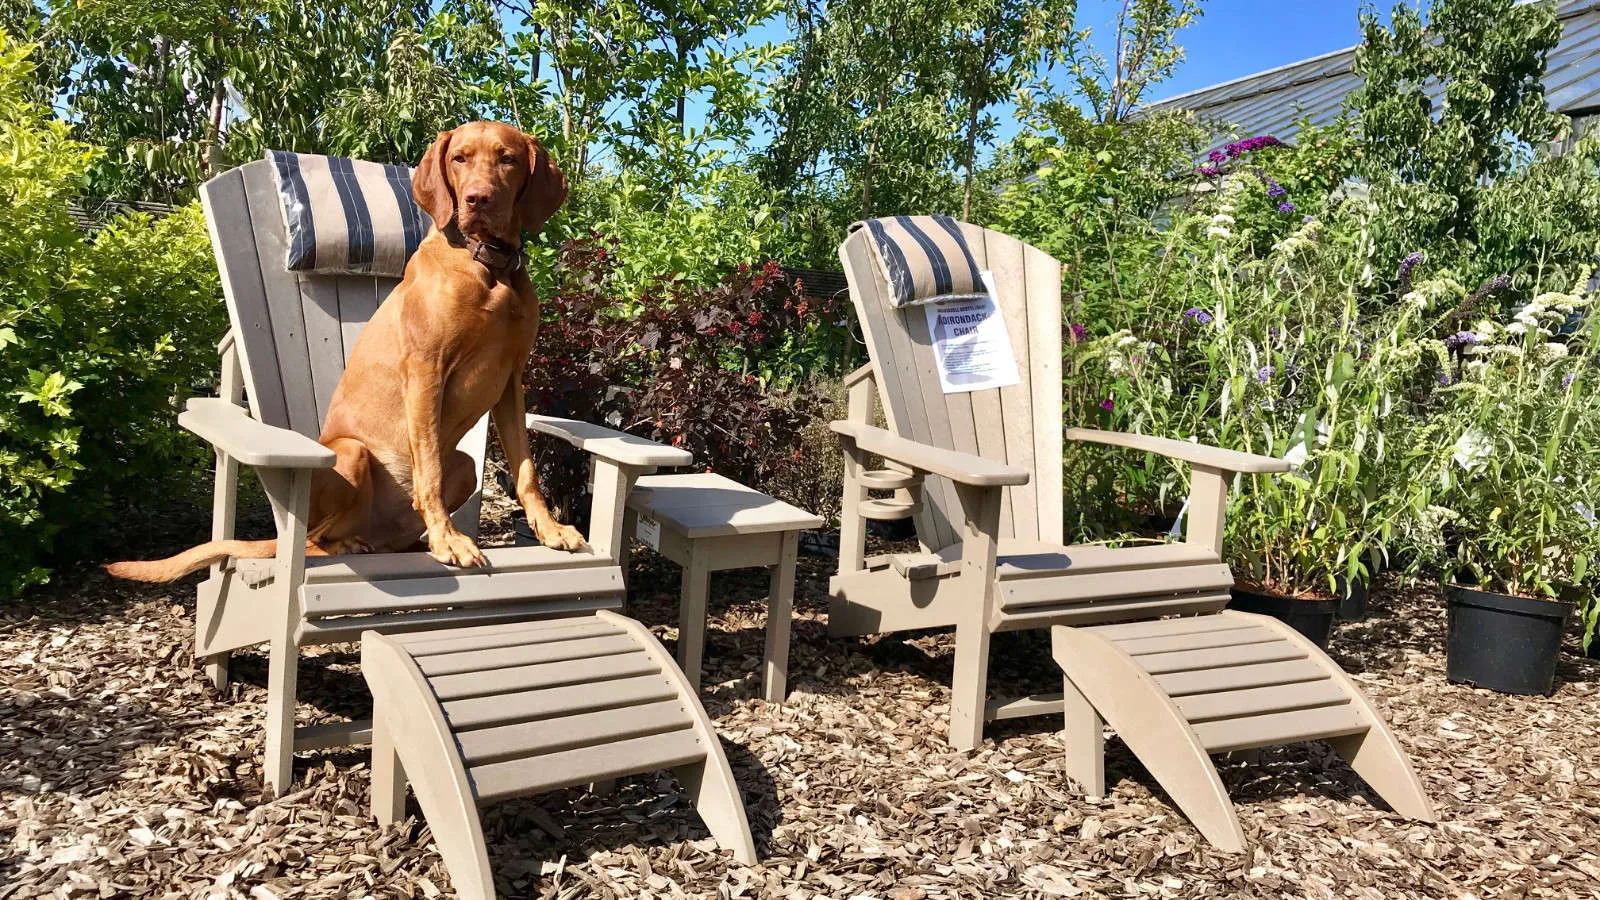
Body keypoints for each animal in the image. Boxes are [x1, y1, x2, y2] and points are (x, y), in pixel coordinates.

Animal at [112, 120, 588, 582]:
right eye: (459, 158)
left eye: (507, 159)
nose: (478, 199)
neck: (489, 268)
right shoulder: (426, 371)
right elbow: (429, 471)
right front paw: (449, 539)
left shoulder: (509, 381)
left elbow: (526, 470)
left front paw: (549, 529)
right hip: (351, 454)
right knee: (312, 540)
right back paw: (355, 545)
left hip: (464, 468)